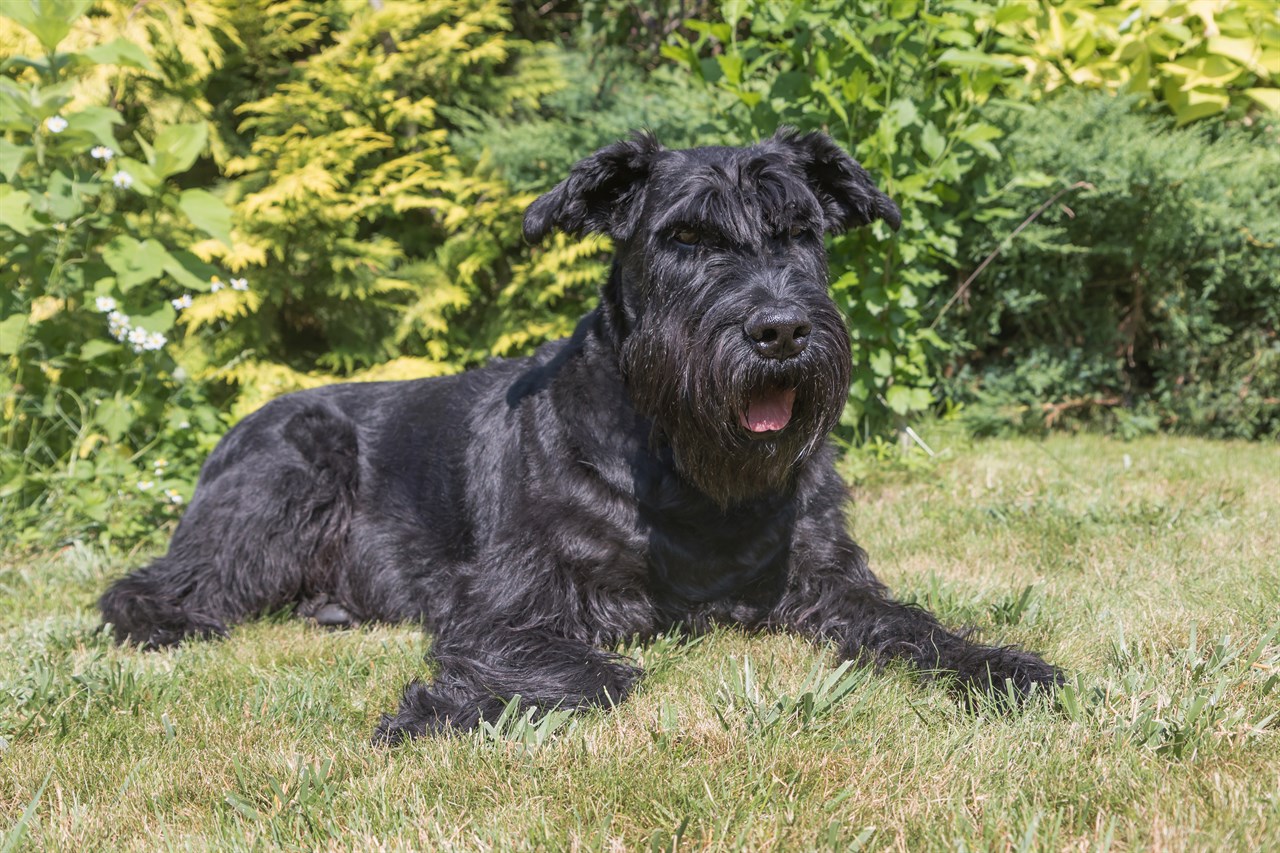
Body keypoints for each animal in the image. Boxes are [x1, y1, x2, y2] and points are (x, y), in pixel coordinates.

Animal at [97, 126, 1059, 737]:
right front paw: (448, 709)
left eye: (800, 231)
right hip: (288, 478)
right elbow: (593, 671)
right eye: (685, 237)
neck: (690, 470)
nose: (780, 329)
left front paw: (1006, 667)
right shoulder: (514, 603)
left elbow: (916, 626)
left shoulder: (829, 581)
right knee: (146, 586)